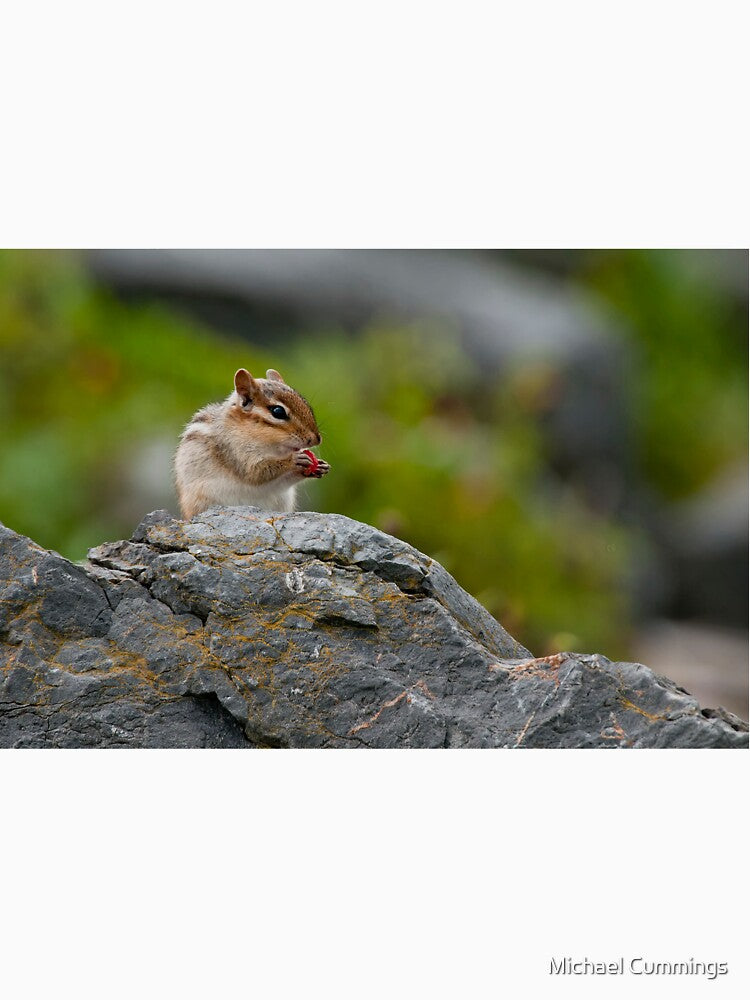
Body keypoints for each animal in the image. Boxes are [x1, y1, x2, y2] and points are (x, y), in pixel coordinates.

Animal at [174, 367, 330, 519]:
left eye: (307, 405)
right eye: (278, 411)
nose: (316, 439)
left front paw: (321, 466)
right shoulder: (233, 450)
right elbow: (256, 472)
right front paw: (295, 459)